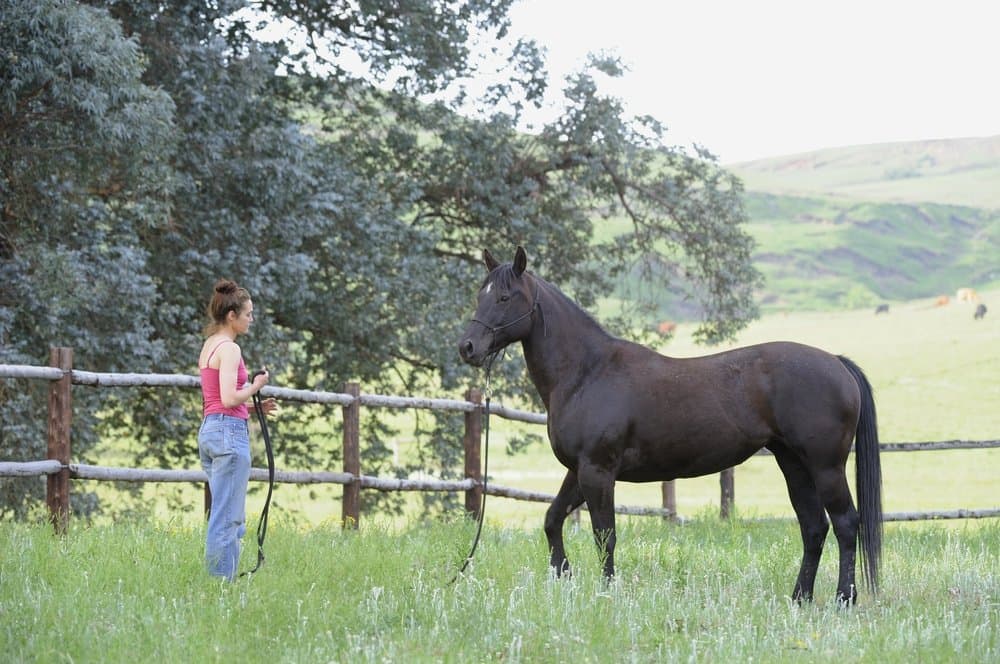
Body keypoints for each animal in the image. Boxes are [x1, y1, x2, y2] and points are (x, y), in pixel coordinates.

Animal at [458, 247, 883, 605]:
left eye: (505, 297)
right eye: (480, 294)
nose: (468, 347)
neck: (586, 372)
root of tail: (836, 362)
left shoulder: (598, 471)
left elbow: (604, 536)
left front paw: (607, 593)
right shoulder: (578, 471)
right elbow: (552, 520)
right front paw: (563, 576)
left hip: (826, 466)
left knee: (846, 524)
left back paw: (844, 599)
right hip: (794, 464)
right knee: (813, 527)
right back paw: (799, 598)